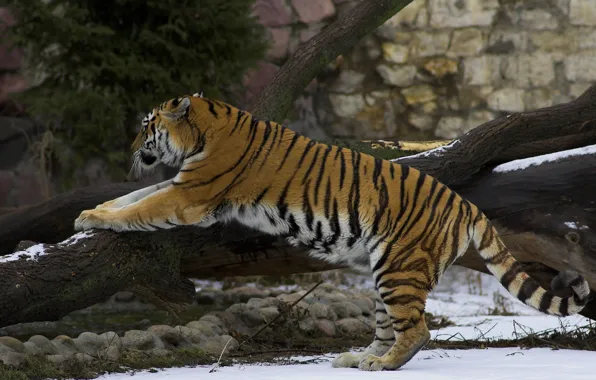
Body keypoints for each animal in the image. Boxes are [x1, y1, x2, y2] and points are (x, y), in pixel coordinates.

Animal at [75, 93, 592, 372]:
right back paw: (356, 359)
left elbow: (142, 207)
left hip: (399, 267)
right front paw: (89, 211)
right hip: (385, 272)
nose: (131, 147)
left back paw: (381, 364)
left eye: (146, 125)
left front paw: (94, 220)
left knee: (417, 330)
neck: (205, 128)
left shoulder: (189, 197)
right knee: (388, 326)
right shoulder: (181, 184)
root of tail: (465, 203)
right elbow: (135, 196)